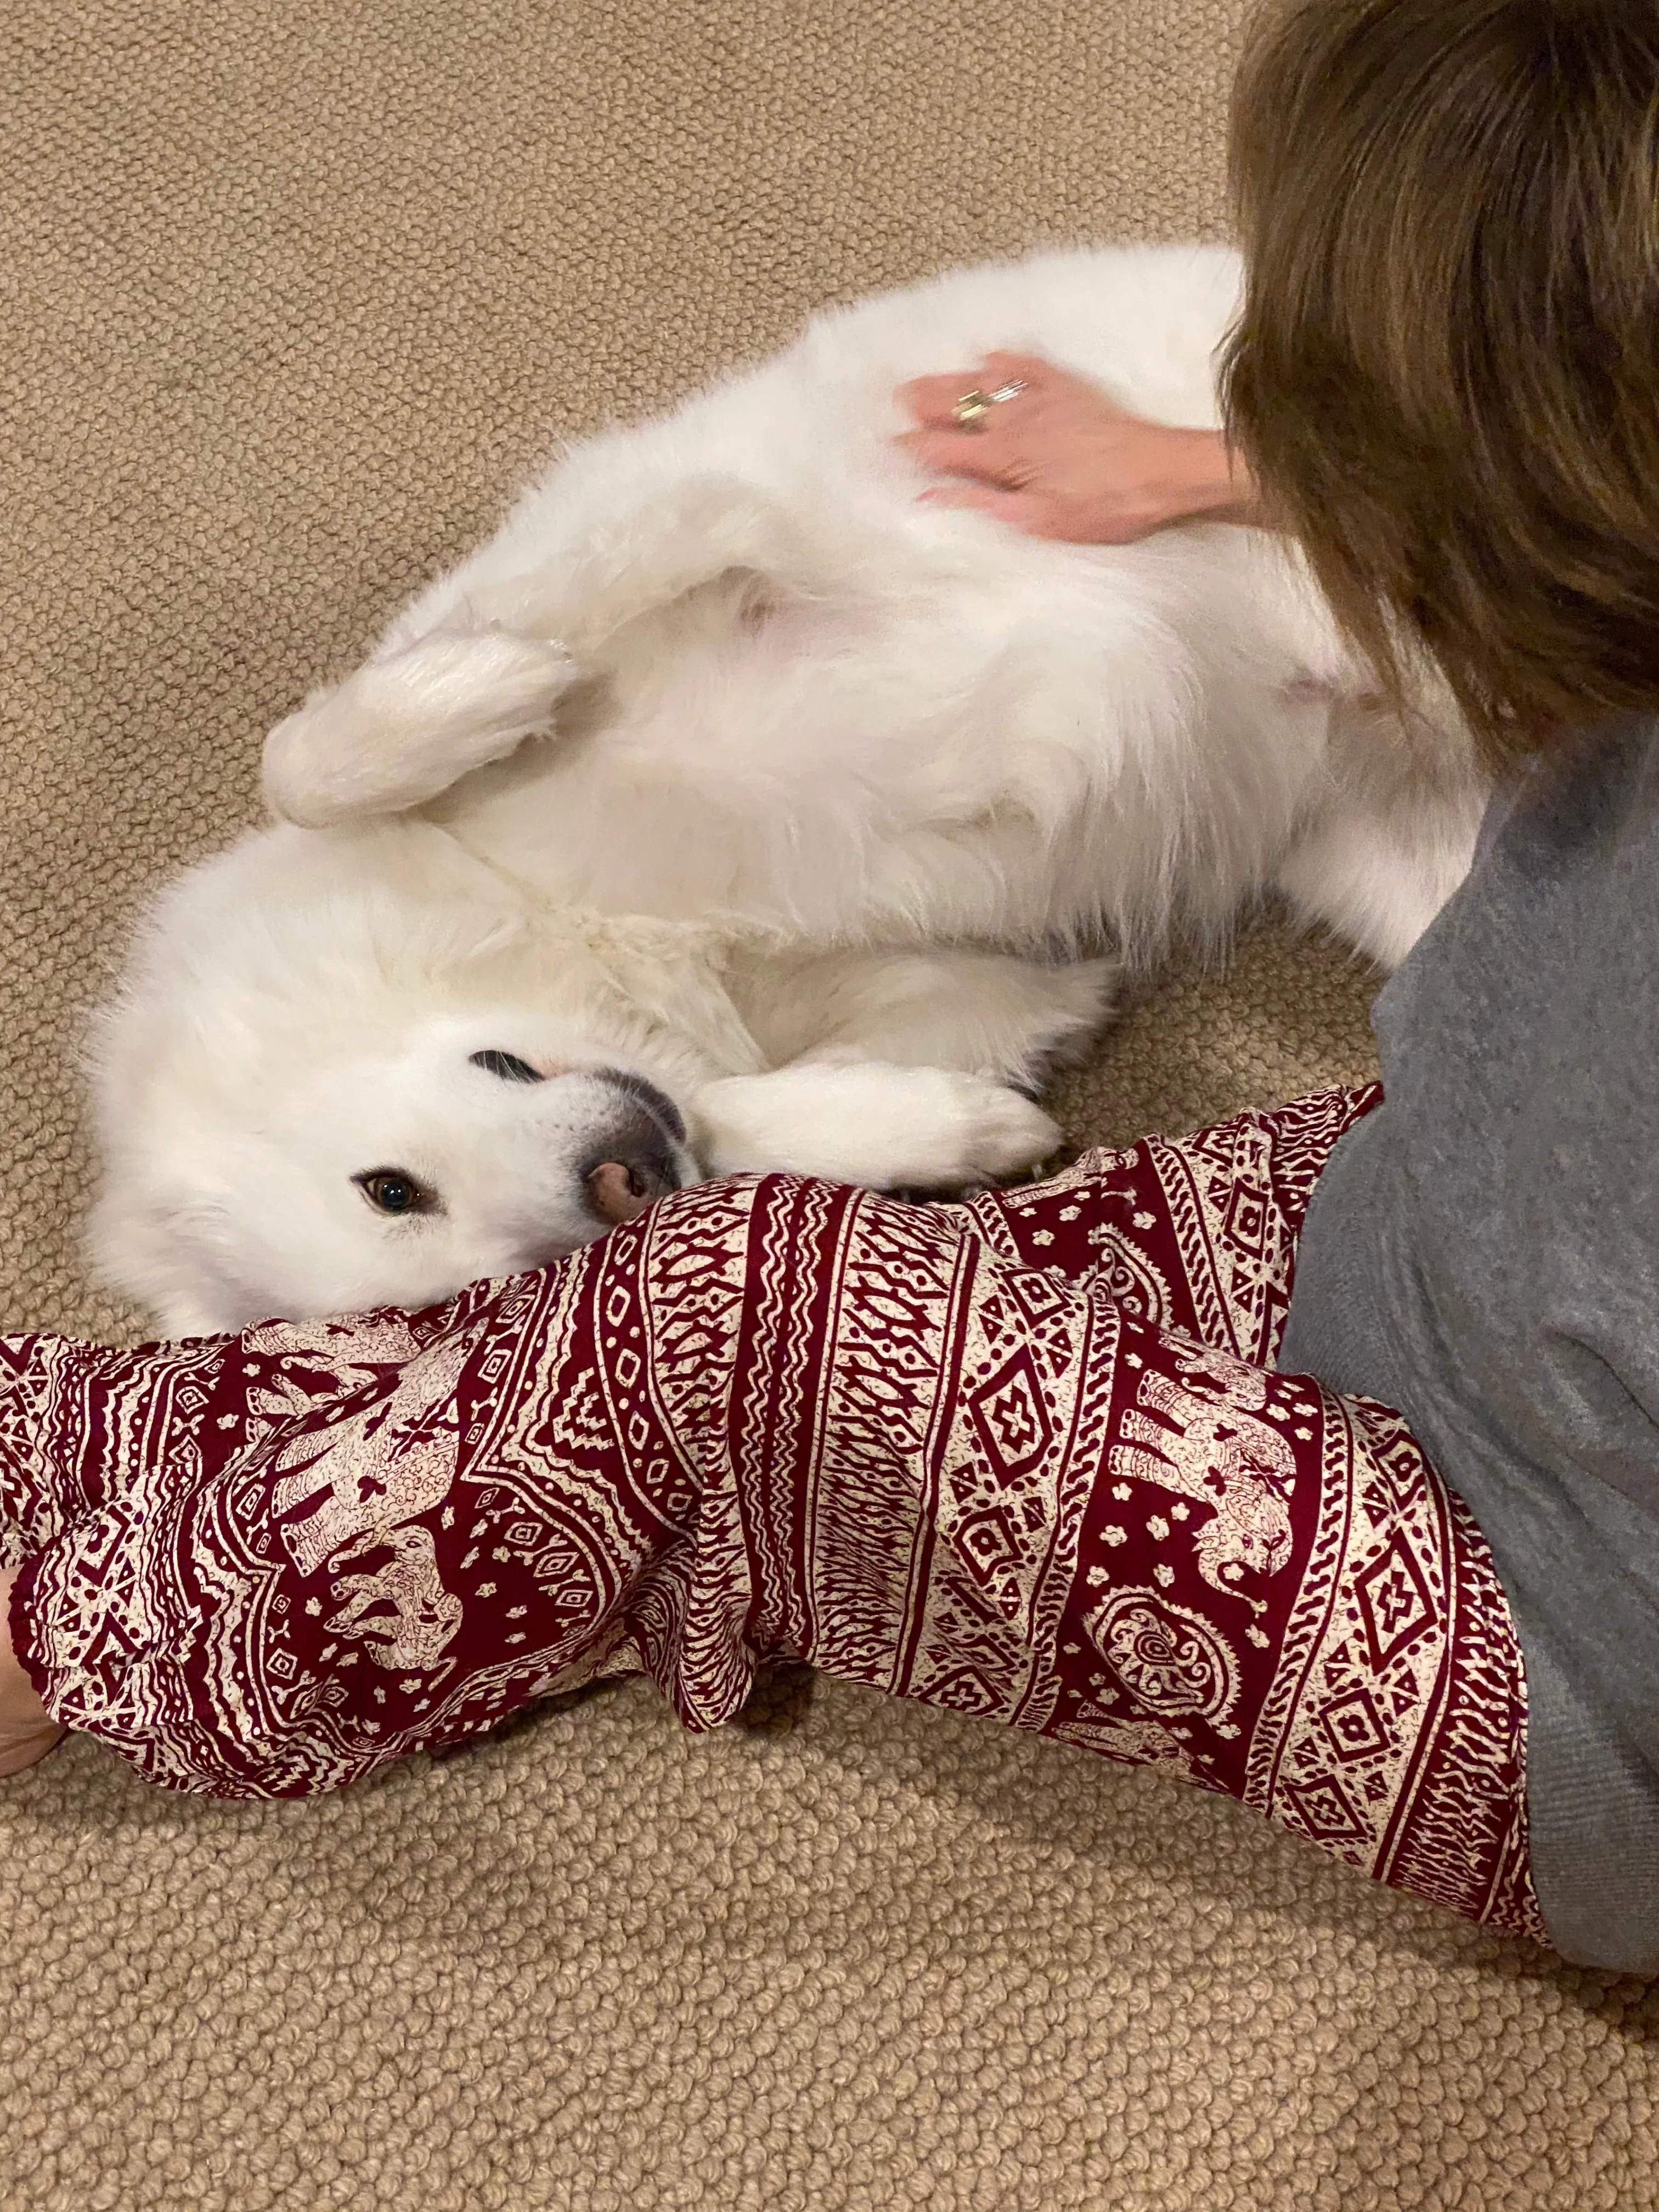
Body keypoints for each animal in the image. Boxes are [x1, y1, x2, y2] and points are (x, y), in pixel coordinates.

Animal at [88, 251, 1495, 1336]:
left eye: (389, 1188)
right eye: (473, 1281)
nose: (621, 1180)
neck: (564, 918)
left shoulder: (681, 533)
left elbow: (314, 752)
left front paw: (481, 691)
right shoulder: (970, 990)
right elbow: (755, 1116)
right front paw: (950, 1134)